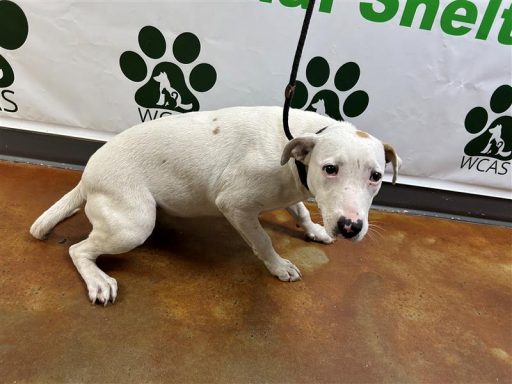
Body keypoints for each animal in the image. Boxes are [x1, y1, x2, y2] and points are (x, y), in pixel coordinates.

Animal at [30, 106, 402, 304]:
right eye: (330, 169)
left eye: (376, 176)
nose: (349, 227)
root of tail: (86, 176)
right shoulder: (235, 205)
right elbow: (263, 241)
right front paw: (278, 266)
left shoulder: (292, 192)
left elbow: (299, 209)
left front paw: (314, 230)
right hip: (134, 225)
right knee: (78, 249)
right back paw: (98, 280)